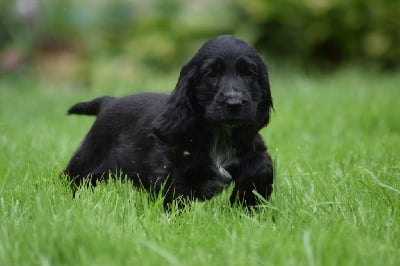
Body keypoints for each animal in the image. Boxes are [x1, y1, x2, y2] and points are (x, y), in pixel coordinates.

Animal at [63, 34, 276, 208]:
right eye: (211, 74)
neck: (220, 132)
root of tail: (109, 101)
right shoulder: (172, 165)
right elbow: (177, 193)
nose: (234, 103)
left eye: (249, 73)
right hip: (89, 159)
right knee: (72, 178)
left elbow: (261, 167)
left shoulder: (252, 145)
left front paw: (246, 205)